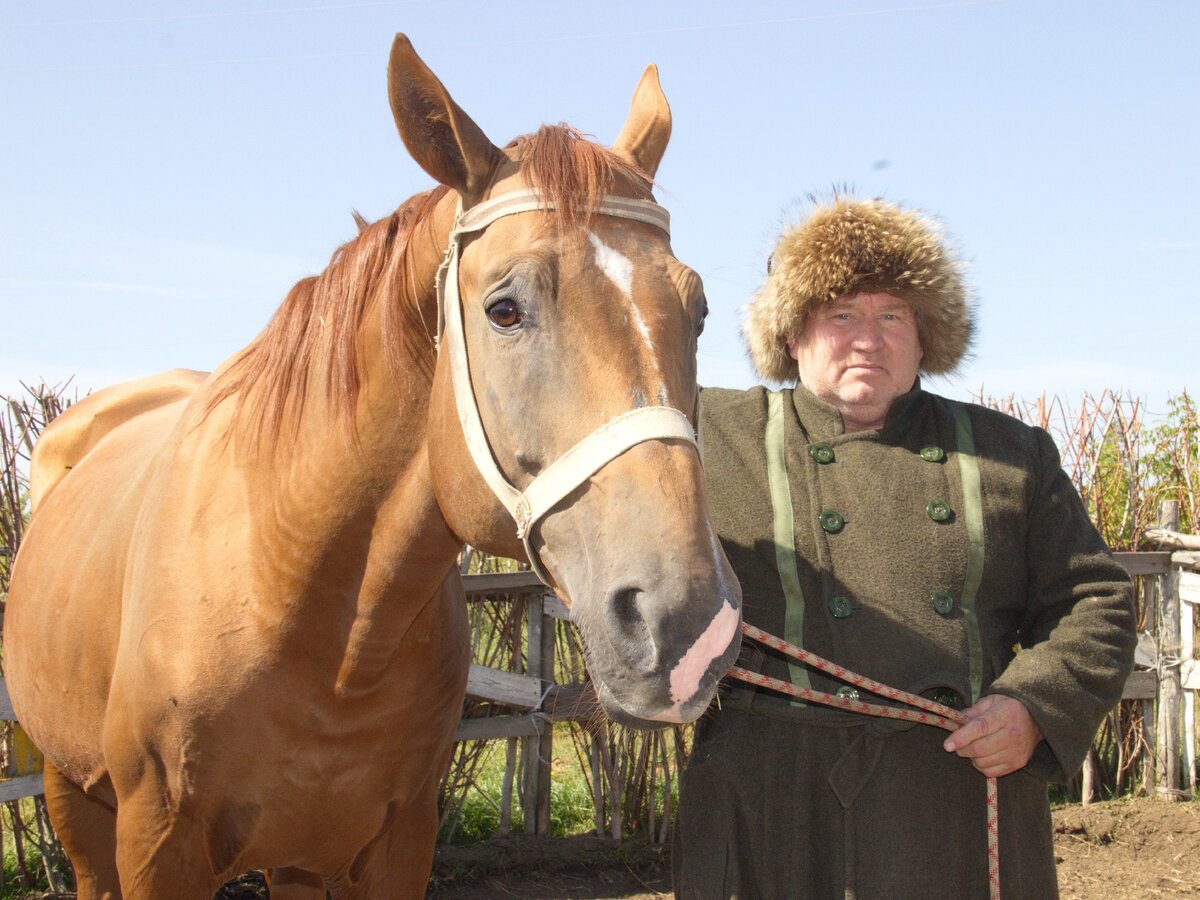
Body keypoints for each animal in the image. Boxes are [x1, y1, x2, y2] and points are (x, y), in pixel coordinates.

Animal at [2, 31, 739, 897]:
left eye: (697, 310)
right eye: (504, 308)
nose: (687, 624)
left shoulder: (396, 841)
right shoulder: (157, 847)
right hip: (75, 800)